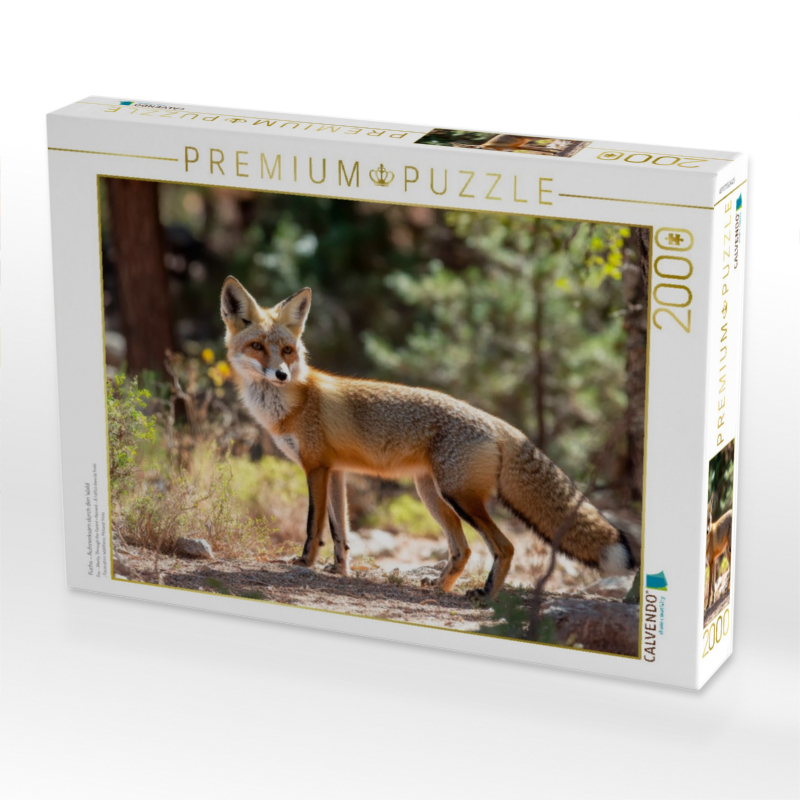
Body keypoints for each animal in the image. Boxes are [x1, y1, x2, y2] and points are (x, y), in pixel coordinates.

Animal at [221, 276, 639, 601]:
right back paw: (440, 587)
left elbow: (313, 526)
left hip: (458, 496)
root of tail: (497, 422)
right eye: (258, 346)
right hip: (432, 494)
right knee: (463, 550)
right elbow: (340, 532)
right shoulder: (334, 471)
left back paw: (485, 595)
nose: (280, 374)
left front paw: (304, 563)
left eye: (287, 350)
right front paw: (339, 571)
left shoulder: (316, 468)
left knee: (503, 545)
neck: (292, 403)